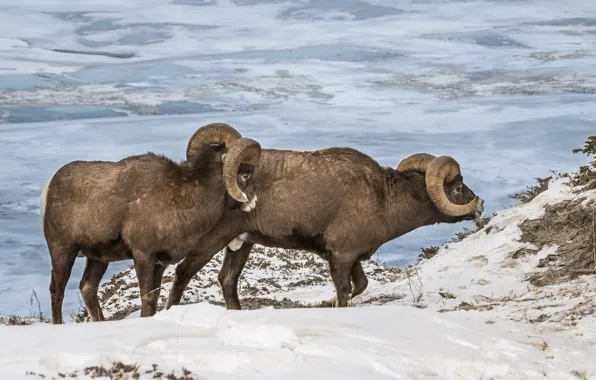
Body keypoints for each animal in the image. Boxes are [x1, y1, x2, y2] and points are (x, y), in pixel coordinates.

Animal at [42, 122, 260, 324]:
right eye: (245, 175)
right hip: (63, 250)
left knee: (87, 287)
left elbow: (154, 298)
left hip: (98, 258)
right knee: (57, 290)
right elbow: (147, 298)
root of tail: (49, 187)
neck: (182, 201)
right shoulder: (143, 256)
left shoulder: (160, 262)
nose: (253, 202)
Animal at [164, 135, 484, 310]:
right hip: (211, 241)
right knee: (183, 273)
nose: (480, 205)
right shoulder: (341, 256)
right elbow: (345, 291)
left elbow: (360, 285)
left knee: (227, 280)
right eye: (458, 188)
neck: (383, 198)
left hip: (241, 245)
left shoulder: (352, 258)